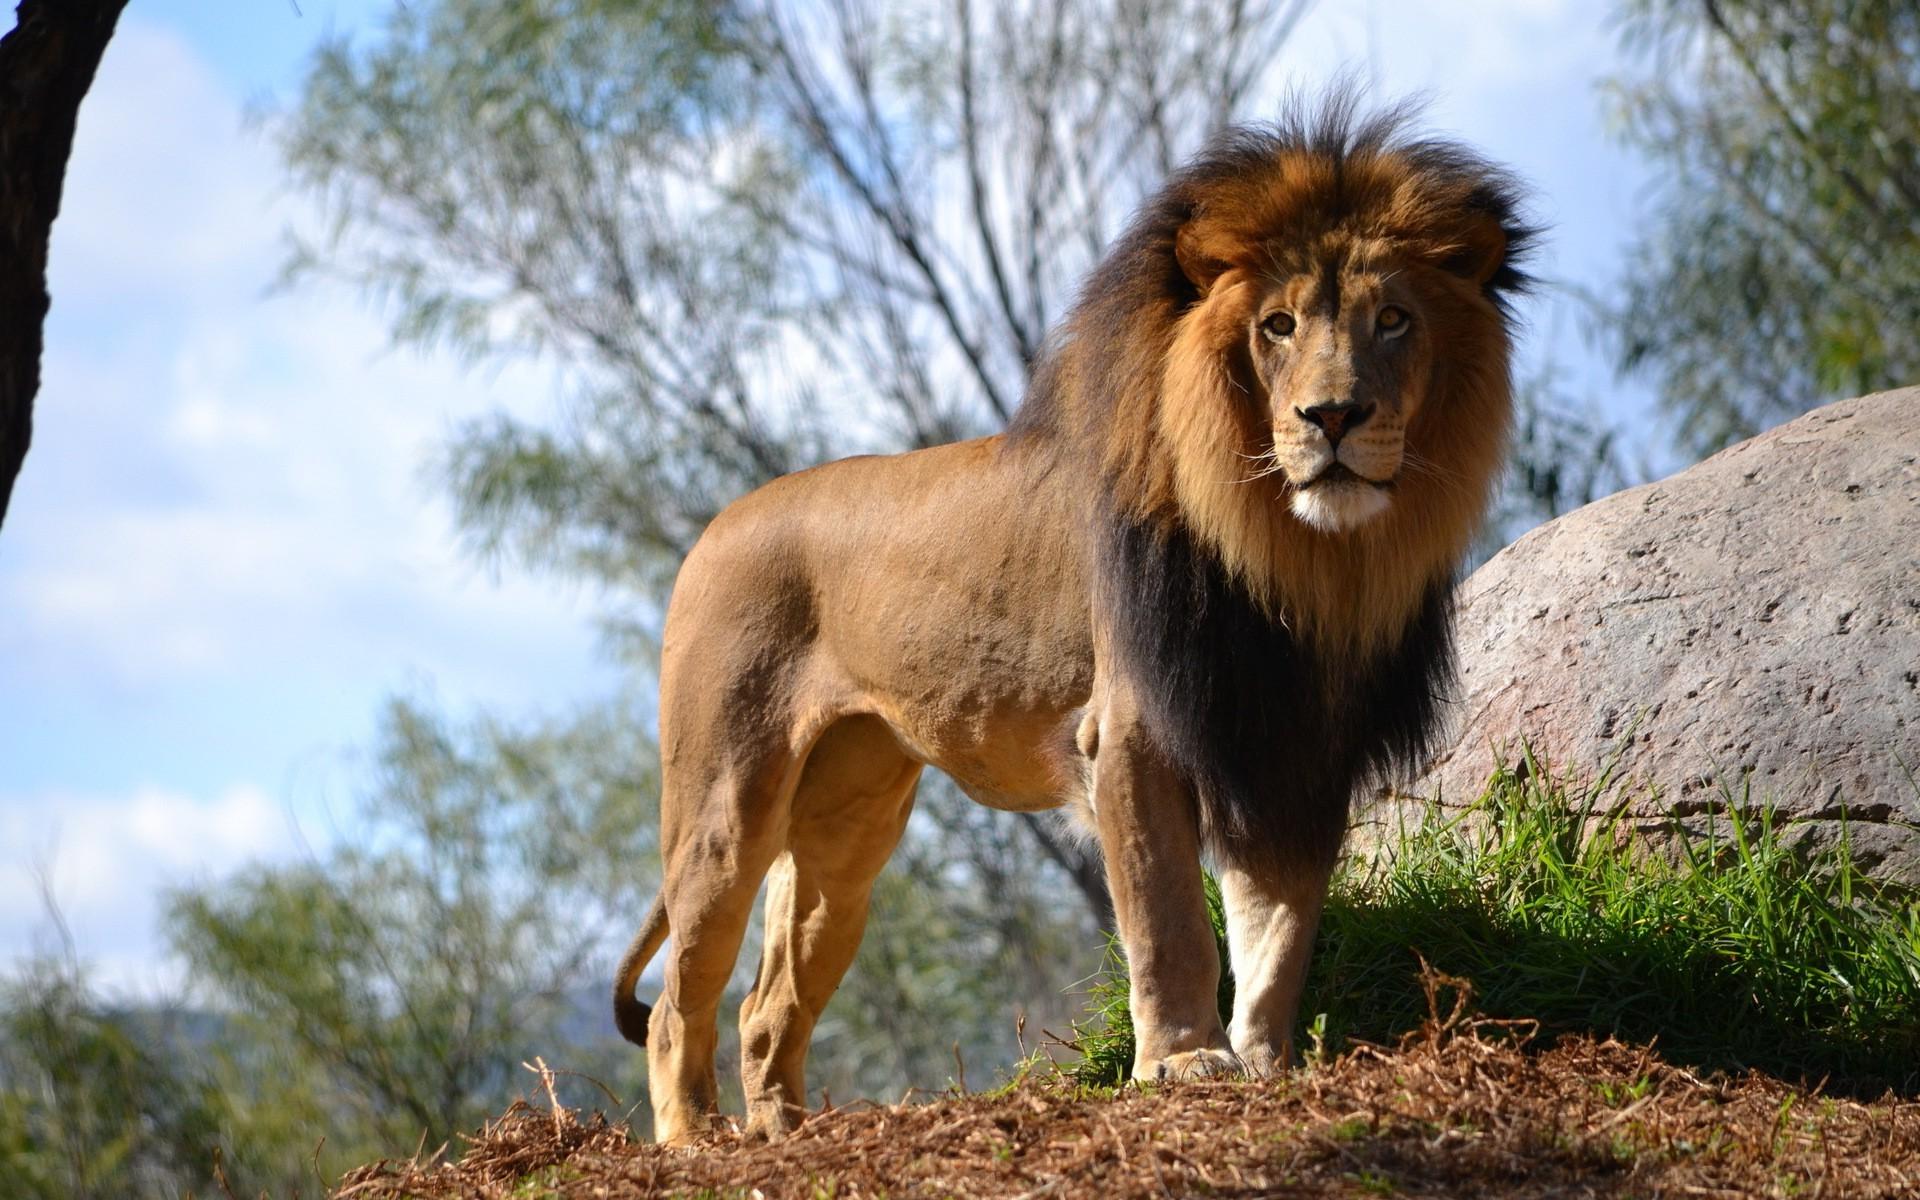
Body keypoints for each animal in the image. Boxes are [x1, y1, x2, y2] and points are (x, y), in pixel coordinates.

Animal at [613, 95, 1532, 1144]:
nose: (1332, 416)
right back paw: (694, 1138)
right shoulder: (1133, 730)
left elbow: (1280, 923)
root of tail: (716, 526)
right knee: (679, 997)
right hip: (726, 799)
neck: (1298, 558)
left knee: (768, 1004)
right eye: (1278, 325)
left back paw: (783, 1131)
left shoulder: (1294, 744)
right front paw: (1183, 1063)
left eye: (1393, 319)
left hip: (848, 820)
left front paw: (1268, 1063)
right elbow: (1170, 916)